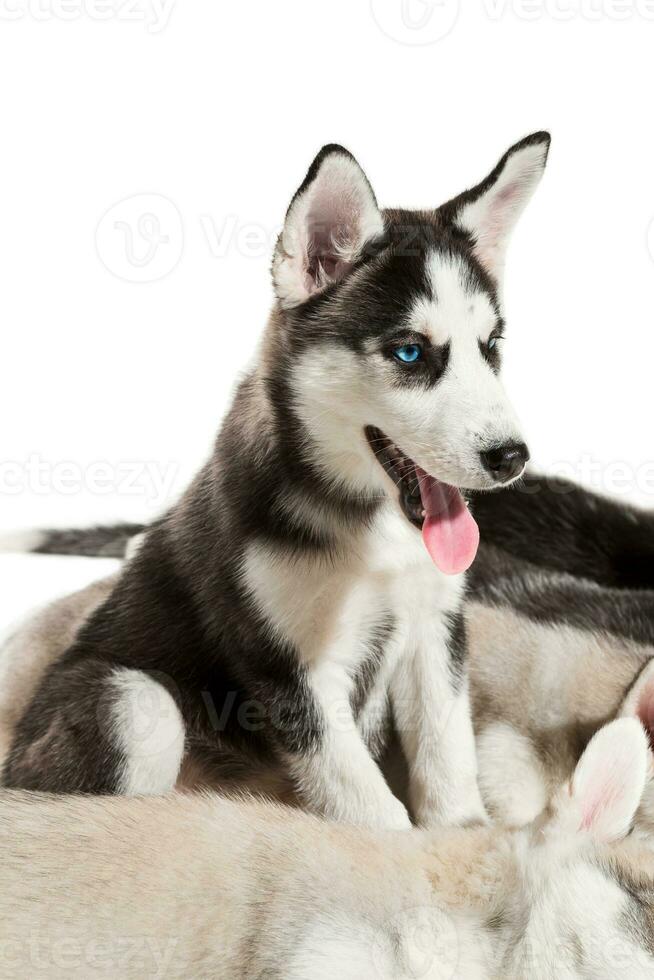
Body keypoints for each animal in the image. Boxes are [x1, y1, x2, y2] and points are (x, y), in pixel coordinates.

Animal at [1, 136, 552, 828]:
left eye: (492, 345)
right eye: (409, 352)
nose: (512, 457)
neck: (371, 528)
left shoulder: (435, 633)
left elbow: (448, 761)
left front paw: (467, 832)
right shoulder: (287, 670)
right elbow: (371, 811)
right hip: (130, 698)